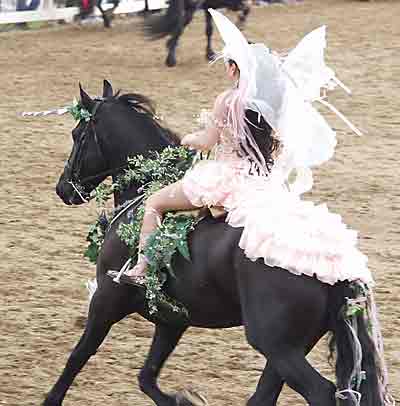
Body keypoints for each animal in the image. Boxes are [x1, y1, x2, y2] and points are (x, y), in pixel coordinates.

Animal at [47, 79, 388, 406]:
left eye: (77, 134)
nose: (63, 188)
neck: (145, 188)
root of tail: (332, 256)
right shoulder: (171, 320)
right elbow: (147, 376)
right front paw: (183, 400)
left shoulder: (106, 300)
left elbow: (78, 357)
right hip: (289, 346)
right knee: (266, 396)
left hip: (276, 345)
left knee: (320, 393)